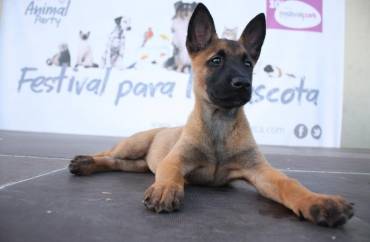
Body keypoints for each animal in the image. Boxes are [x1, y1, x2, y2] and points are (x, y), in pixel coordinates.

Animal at [68, 3, 354, 227]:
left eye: (247, 64)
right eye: (216, 61)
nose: (243, 84)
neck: (220, 123)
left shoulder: (261, 172)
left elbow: (290, 184)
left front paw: (319, 202)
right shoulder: (174, 161)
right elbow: (171, 175)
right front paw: (166, 189)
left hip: (140, 164)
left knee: (120, 164)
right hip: (133, 144)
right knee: (108, 154)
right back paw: (85, 162)